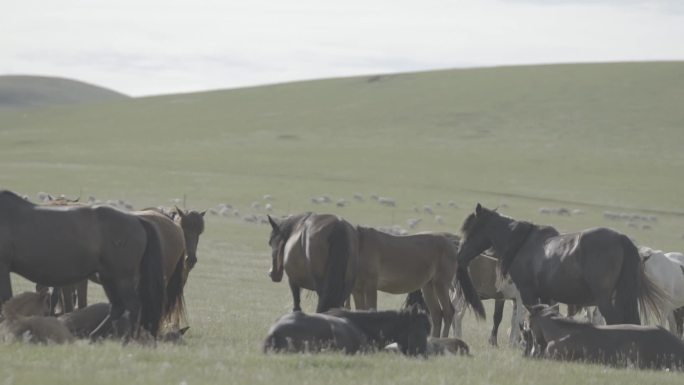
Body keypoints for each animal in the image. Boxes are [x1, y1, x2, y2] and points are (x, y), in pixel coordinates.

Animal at [0, 188, 165, 338]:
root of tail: (137, 220)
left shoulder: (3, 268)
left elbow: (5, 300)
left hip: (122, 277)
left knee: (134, 306)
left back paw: (130, 340)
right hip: (108, 277)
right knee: (118, 307)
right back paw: (91, 336)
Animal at [456, 204, 664, 324]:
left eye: (470, 229)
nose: (460, 254)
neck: (522, 243)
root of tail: (621, 238)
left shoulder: (529, 294)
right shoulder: (547, 296)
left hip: (605, 299)